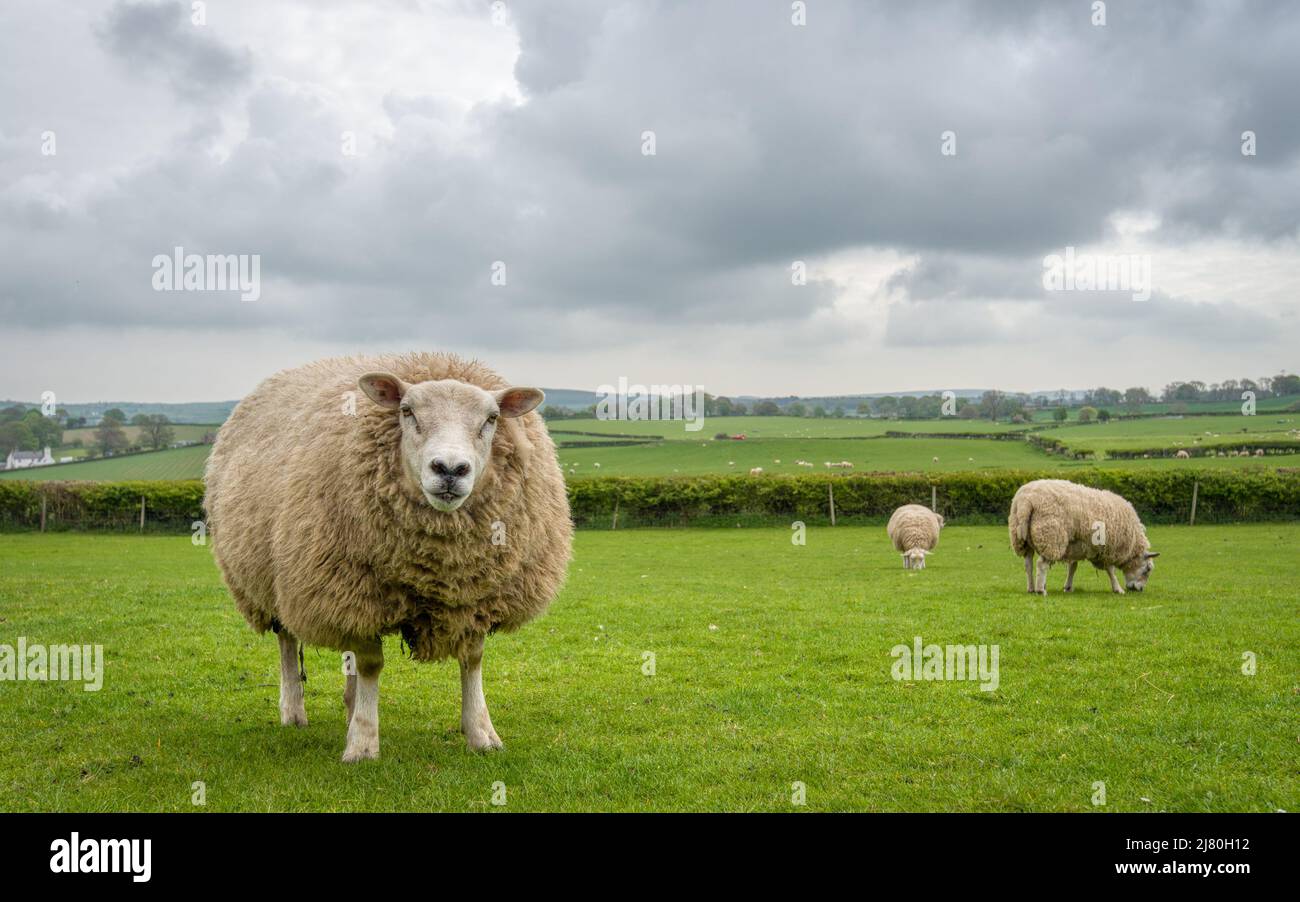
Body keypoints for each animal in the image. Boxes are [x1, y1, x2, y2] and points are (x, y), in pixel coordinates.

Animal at [204, 352, 572, 761]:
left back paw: (349, 705)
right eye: (407, 411)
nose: (450, 469)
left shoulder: (475, 596)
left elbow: (472, 659)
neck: (439, 565)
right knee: (287, 641)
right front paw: (363, 743)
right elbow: (370, 664)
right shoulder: (355, 590)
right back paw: (294, 711)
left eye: (491, 418)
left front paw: (481, 733)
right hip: (276, 582)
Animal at [1008, 479, 1158, 597]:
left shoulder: (1076, 546)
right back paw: (1040, 590)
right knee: (1041, 564)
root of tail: (1025, 502)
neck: (1131, 545)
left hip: (1023, 540)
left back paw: (1031, 588)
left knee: (1028, 564)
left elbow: (1073, 567)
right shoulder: (1106, 549)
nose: (1139, 589)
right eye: (1147, 570)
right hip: (1051, 537)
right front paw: (1118, 589)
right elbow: (1111, 570)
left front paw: (1068, 587)